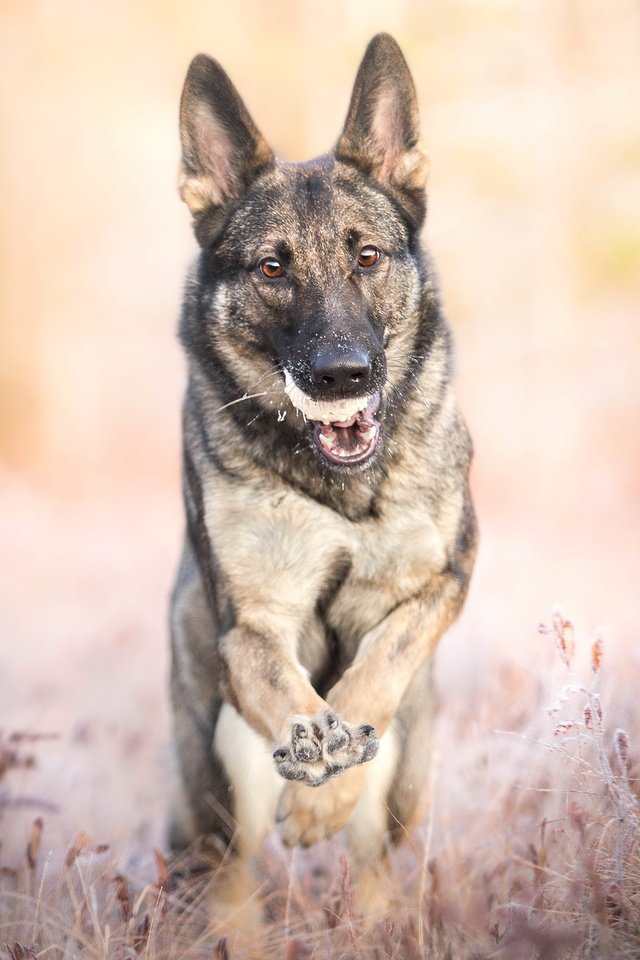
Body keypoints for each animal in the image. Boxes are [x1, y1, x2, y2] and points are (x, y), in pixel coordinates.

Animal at [168, 33, 478, 928]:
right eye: (273, 269)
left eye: (367, 257)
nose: (343, 375)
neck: (340, 493)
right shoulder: (252, 627)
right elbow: (302, 703)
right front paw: (313, 786)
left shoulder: (445, 577)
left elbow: (375, 669)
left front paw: (320, 802)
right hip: (221, 779)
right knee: (232, 883)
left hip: (403, 778)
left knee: (373, 868)